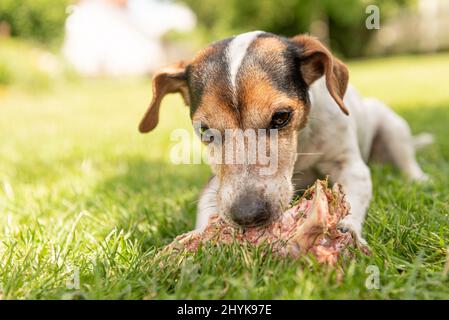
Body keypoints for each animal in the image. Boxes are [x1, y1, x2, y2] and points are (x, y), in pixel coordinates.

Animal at [139, 31, 430, 244]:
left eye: (281, 117)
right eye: (204, 130)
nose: (248, 214)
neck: (301, 148)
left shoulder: (350, 166)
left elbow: (351, 199)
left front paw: (347, 229)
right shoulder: (216, 185)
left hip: (393, 125)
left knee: (407, 160)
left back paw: (419, 179)